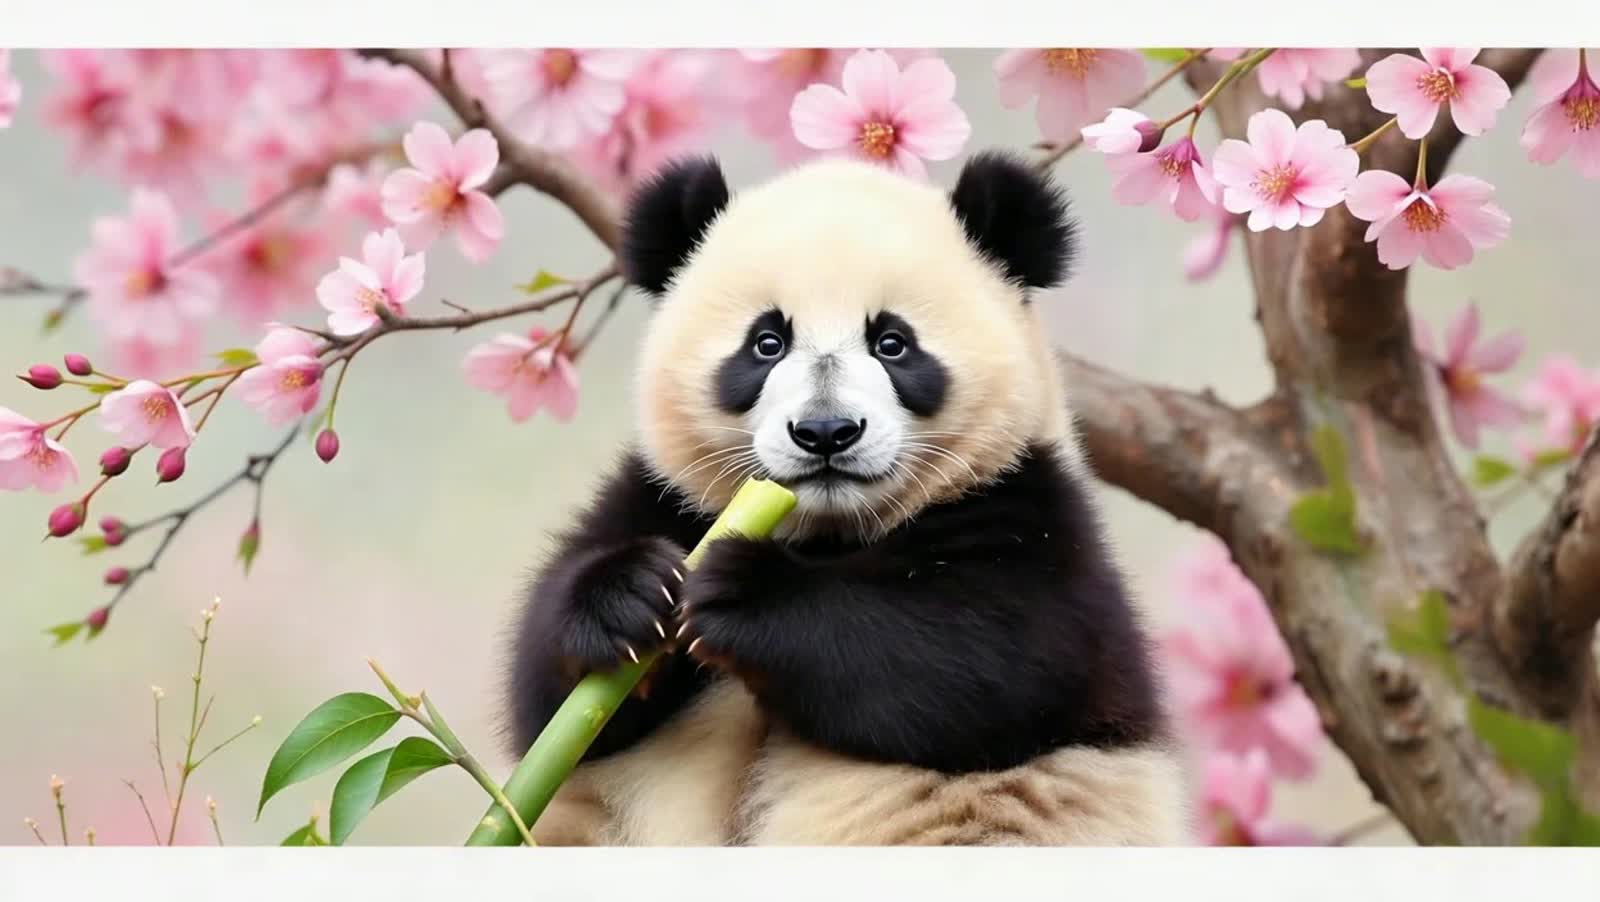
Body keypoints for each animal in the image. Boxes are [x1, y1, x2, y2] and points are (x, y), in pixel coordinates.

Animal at [503, 151, 1188, 846]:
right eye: (766, 343)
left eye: (892, 343)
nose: (826, 432)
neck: (827, 531)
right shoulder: (672, 498)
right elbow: (551, 706)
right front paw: (631, 593)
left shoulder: (1032, 510)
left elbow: (982, 658)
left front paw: (744, 592)